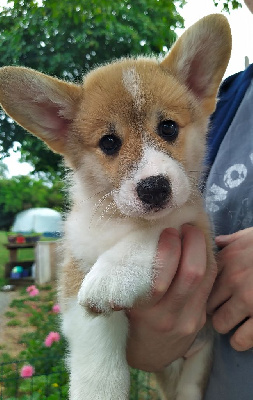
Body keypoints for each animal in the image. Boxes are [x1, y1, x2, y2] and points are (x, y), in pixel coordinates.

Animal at [0, 14, 231, 398]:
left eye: (168, 127)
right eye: (109, 142)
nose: (154, 188)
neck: (120, 220)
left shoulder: (195, 226)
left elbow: (157, 229)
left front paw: (113, 274)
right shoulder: (74, 274)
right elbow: (97, 356)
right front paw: (99, 387)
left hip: (200, 359)